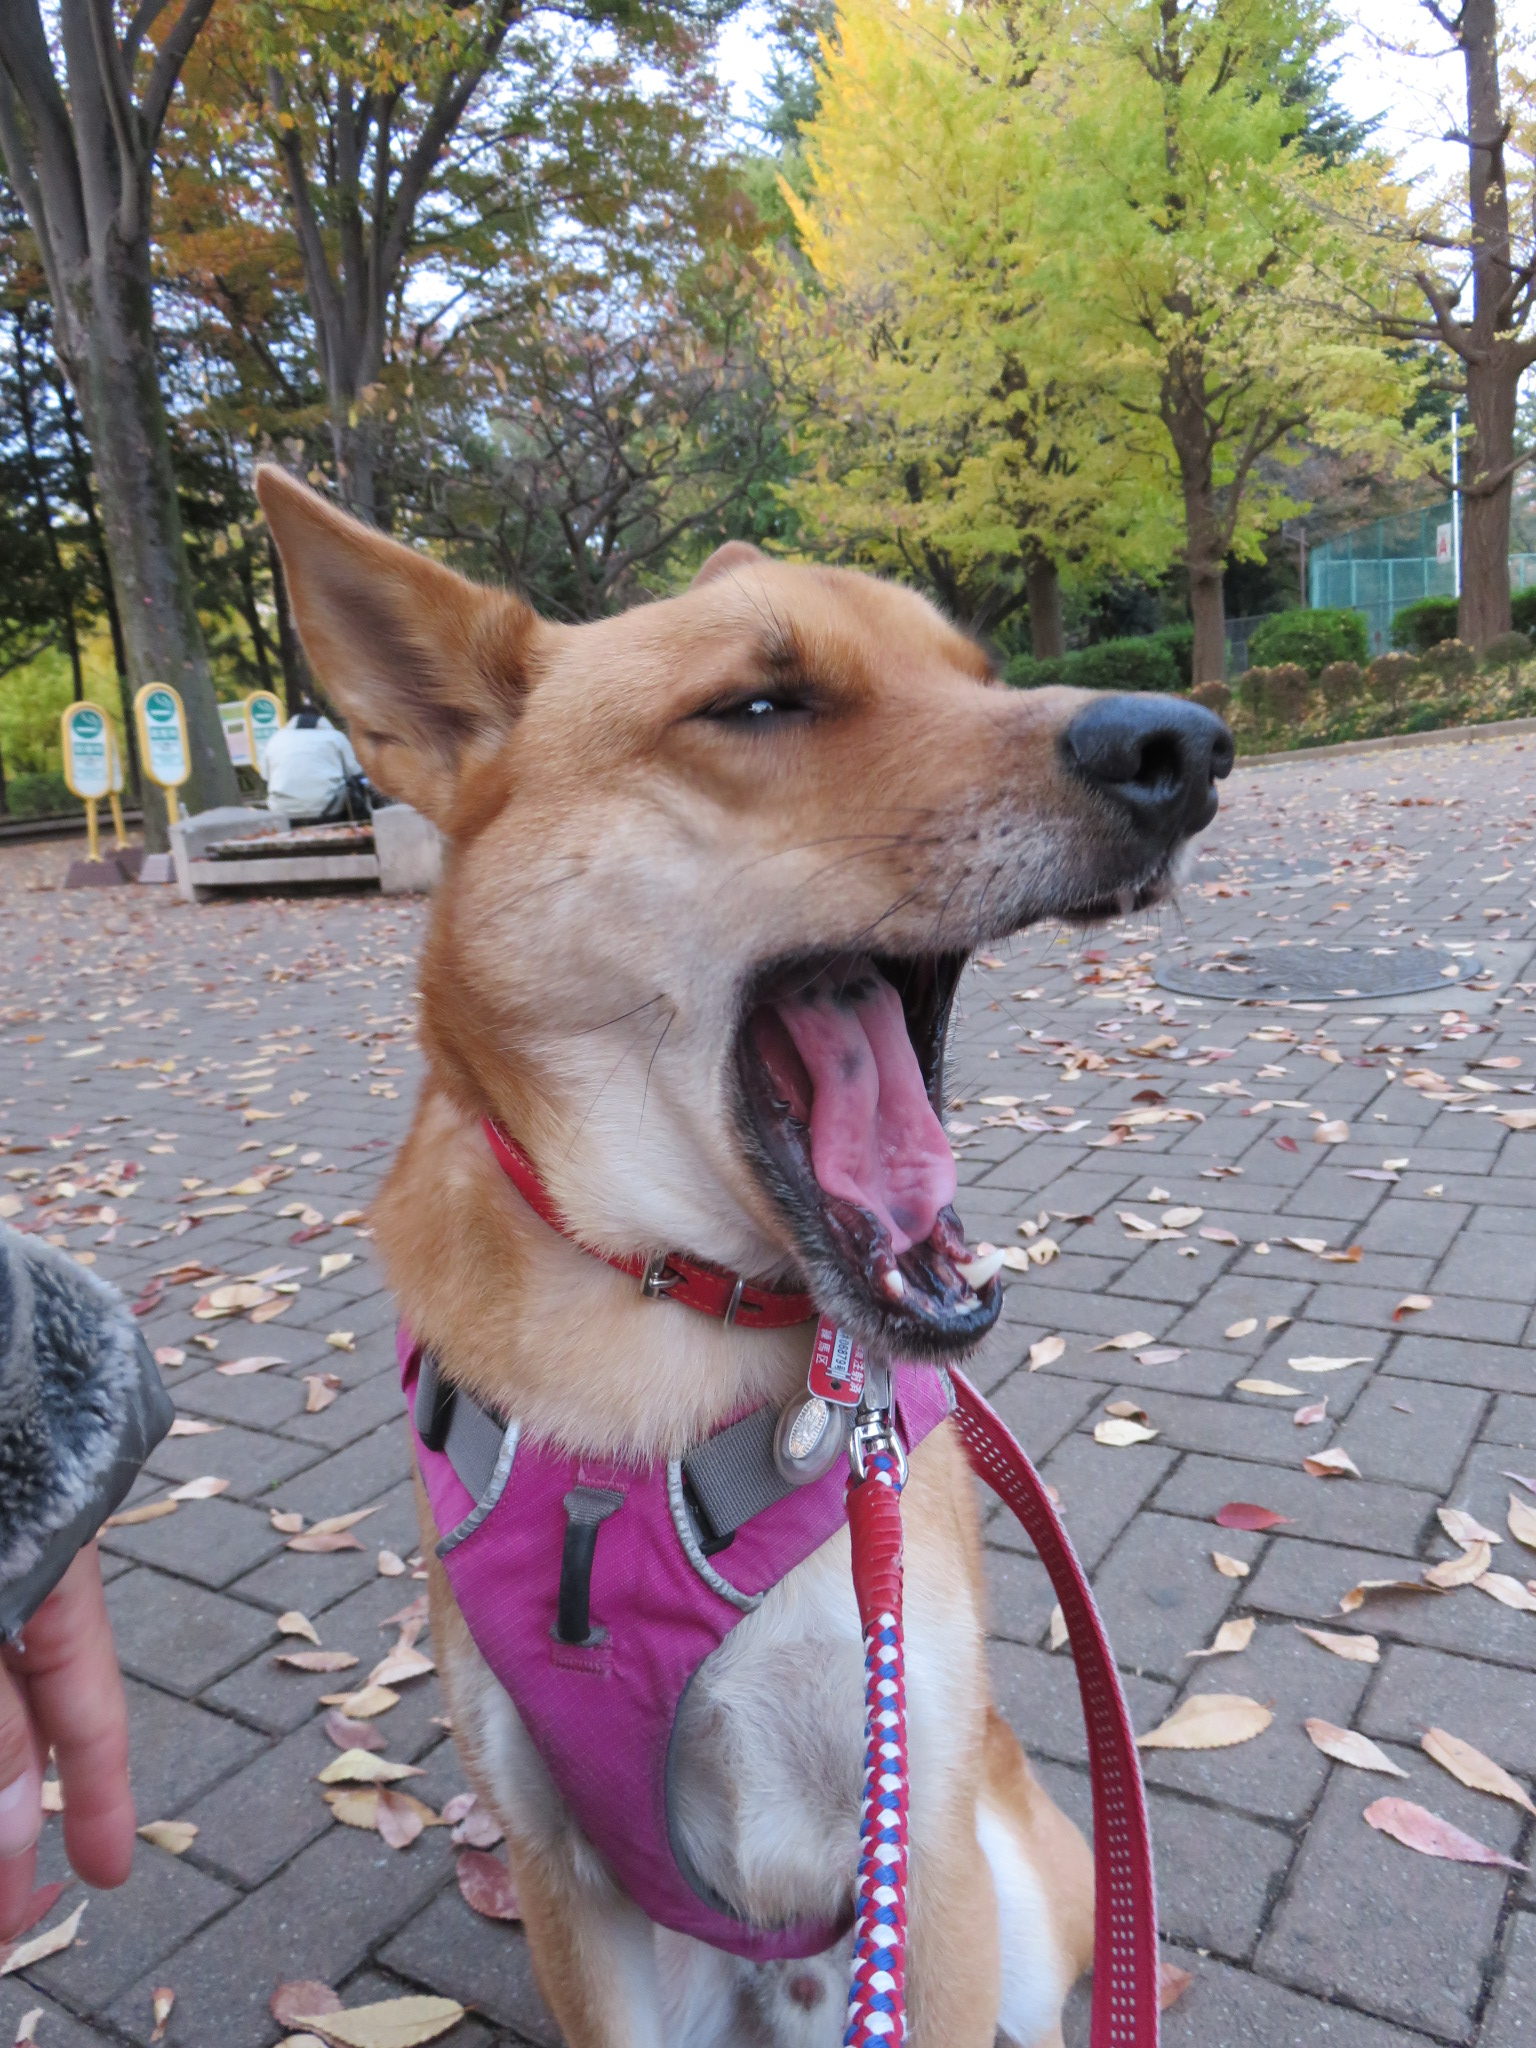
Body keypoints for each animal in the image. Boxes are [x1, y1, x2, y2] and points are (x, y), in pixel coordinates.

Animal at [257, 466, 1230, 2048]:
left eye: (976, 673)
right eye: (760, 705)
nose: (1183, 743)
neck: (664, 1312)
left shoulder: (919, 1844)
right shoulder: (565, 1883)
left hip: (1019, 1896)